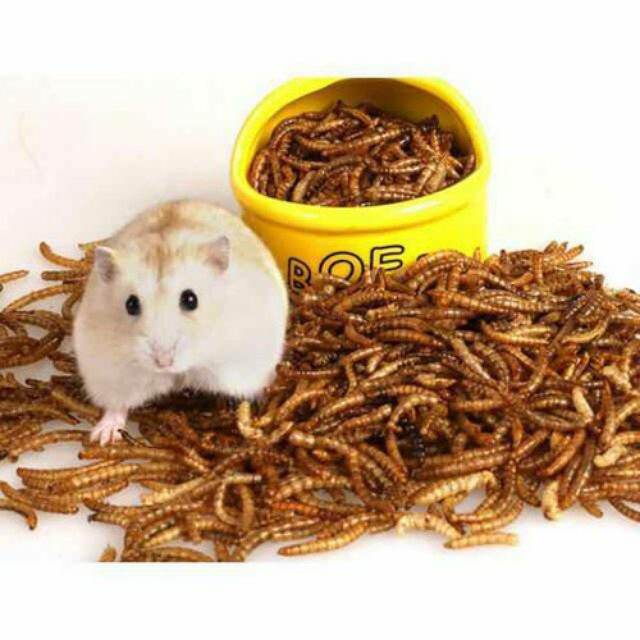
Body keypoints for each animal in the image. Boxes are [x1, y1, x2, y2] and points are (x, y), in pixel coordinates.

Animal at [73, 200, 289, 445]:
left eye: (190, 299)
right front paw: (101, 438)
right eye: (131, 304)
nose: (163, 362)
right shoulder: (109, 370)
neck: (180, 372)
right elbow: (117, 405)